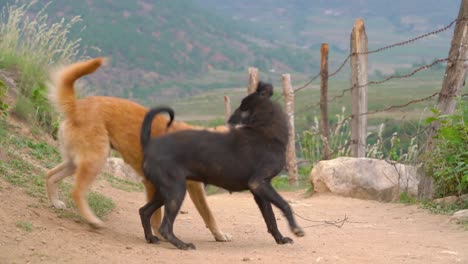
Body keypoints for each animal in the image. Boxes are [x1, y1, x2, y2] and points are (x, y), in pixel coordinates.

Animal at [46, 57, 231, 241]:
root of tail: (76, 107)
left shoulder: (192, 187)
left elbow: (207, 214)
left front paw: (219, 234)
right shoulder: (154, 184)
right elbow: (160, 215)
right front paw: (159, 234)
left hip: (77, 161)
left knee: (50, 174)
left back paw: (55, 202)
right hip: (95, 160)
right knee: (77, 191)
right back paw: (92, 220)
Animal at [139, 82, 306, 250]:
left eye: (241, 109)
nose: (228, 122)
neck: (264, 130)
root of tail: (150, 145)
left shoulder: (260, 191)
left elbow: (271, 219)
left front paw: (281, 239)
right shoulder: (259, 183)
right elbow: (285, 205)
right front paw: (296, 229)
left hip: (166, 191)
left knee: (144, 211)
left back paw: (151, 238)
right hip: (176, 191)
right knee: (165, 227)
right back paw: (182, 244)